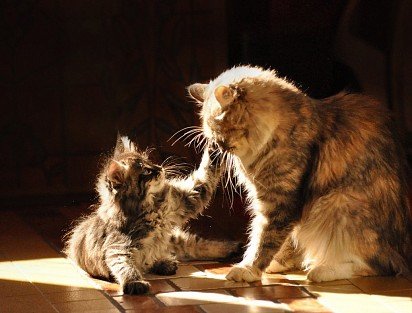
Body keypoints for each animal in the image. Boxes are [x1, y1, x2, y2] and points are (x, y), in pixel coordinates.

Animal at [63, 136, 238, 292]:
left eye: (150, 161)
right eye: (146, 171)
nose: (160, 168)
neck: (153, 207)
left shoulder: (186, 197)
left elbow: (205, 173)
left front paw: (215, 144)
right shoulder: (118, 245)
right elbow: (124, 266)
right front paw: (134, 282)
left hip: (175, 238)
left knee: (197, 246)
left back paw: (234, 248)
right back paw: (165, 263)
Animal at [187, 64, 412, 282]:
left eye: (218, 131)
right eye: (211, 135)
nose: (217, 147)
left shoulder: (280, 202)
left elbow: (263, 239)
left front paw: (248, 269)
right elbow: (284, 239)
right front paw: (276, 263)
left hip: (340, 205)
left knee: (379, 266)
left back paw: (321, 270)